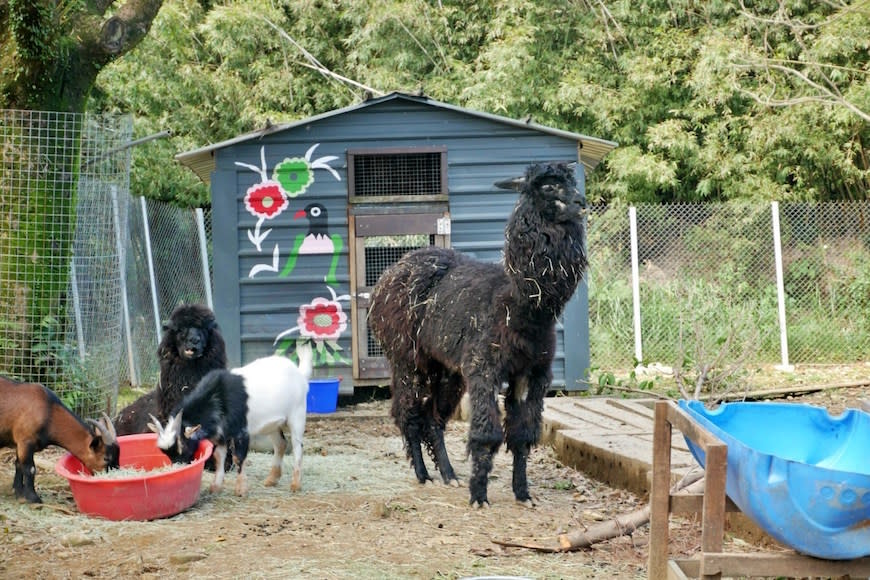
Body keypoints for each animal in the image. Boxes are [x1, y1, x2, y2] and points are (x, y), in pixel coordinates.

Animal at [232, 342, 314, 492]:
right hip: (273, 425)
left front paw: (240, 490)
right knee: (281, 444)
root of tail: (299, 373)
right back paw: (271, 480)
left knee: (297, 447)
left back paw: (295, 485)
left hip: (298, 415)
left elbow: (238, 456)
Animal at [372, 163, 588, 508]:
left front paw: (523, 494)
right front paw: (479, 496)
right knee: (409, 414)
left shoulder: (531, 372)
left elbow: (523, 435)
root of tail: (390, 273)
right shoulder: (485, 367)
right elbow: (487, 434)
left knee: (434, 418)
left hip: (446, 368)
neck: (522, 308)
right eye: (547, 187)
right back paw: (424, 474)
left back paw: (449, 475)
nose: (581, 203)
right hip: (407, 357)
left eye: (572, 182)